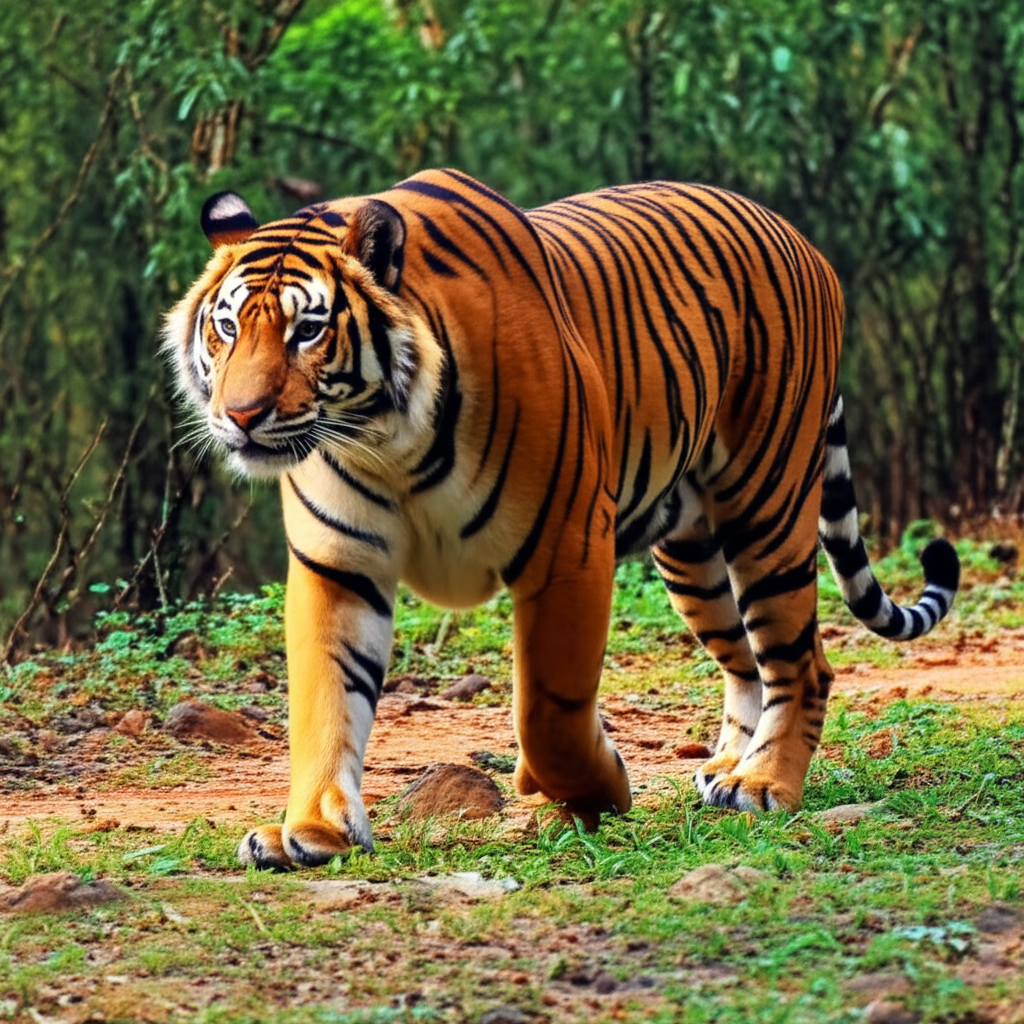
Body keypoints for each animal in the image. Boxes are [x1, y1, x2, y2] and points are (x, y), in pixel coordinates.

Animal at [164, 168, 960, 870]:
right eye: (227, 326)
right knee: (744, 661)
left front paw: (592, 789)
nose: (239, 415)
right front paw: (314, 831)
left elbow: (548, 711)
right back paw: (730, 766)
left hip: (766, 506)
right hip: (691, 555)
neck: (387, 440)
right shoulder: (339, 564)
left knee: (802, 661)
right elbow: (327, 701)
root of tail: (802, 240)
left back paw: (764, 784)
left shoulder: (567, 546)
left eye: (307, 330)